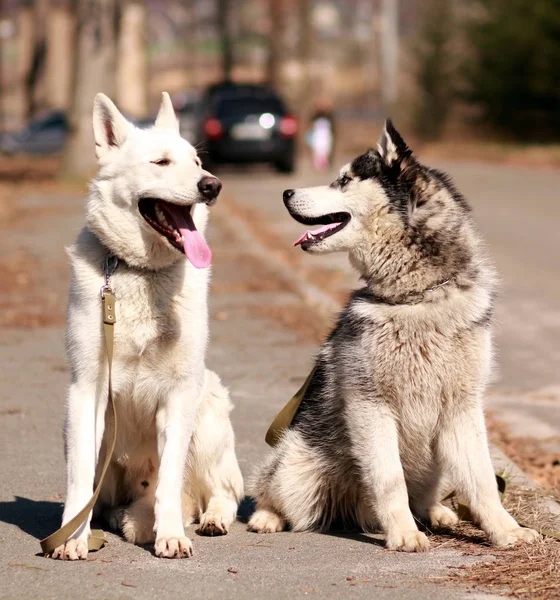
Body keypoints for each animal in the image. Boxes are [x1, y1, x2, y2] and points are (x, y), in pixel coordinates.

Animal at [52, 91, 243, 560]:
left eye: (197, 161)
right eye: (161, 162)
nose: (212, 185)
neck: (142, 272)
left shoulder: (180, 393)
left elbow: (170, 483)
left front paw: (170, 535)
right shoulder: (86, 390)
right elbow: (79, 479)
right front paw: (72, 537)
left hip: (207, 412)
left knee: (220, 493)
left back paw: (207, 520)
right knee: (107, 502)